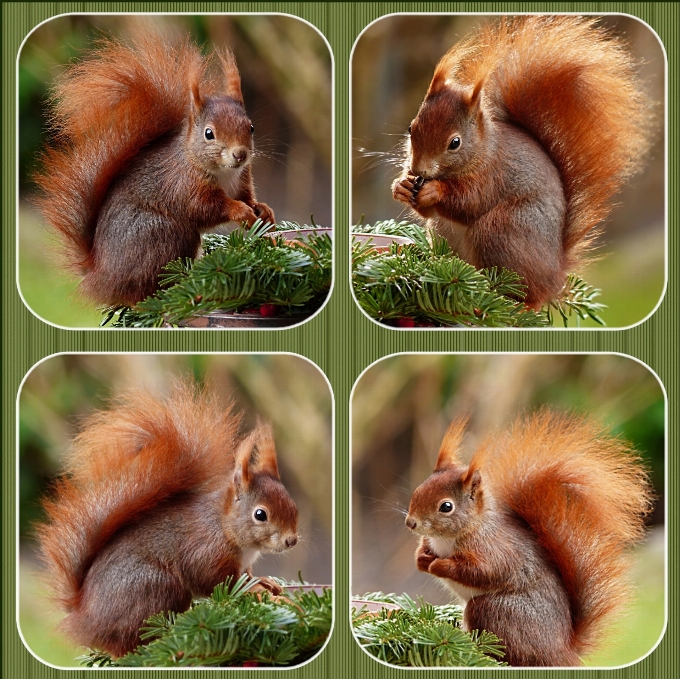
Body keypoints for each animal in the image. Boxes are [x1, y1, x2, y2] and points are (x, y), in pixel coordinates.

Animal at [33, 31, 274, 306]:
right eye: (208, 133)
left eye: (251, 127)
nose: (240, 154)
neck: (223, 171)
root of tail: (100, 275)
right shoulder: (183, 185)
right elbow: (206, 208)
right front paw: (240, 211)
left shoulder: (242, 179)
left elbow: (247, 197)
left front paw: (262, 210)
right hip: (162, 235)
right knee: (145, 292)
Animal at [35, 380, 298, 656]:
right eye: (260, 514)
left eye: (292, 503)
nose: (291, 540)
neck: (225, 527)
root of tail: (83, 617)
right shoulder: (205, 552)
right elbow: (219, 584)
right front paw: (257, 591)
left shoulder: (242, 564)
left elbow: (246, 576)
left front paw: (265, 582)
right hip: (157, 588)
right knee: (126, 645)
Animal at [394, 15, 660, 308]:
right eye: (411, 128)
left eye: (455, 143)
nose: (418, 169)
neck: (483, 151)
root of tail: (555, 273)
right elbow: (427, 211)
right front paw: (401, 186)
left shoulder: (494, 174)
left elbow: (470, 202)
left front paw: (434, 190)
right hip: (447, 232)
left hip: (504, 229)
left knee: (528, 294)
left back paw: (514, 304)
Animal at [406, 412, 656, 668]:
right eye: (418, 491)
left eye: (446, 507)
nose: (410, 523)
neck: (448, 537)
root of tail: (562, 651)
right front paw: (421, 559)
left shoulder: (496, 549)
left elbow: (484, 571)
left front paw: (439, 565)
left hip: (495, 611)